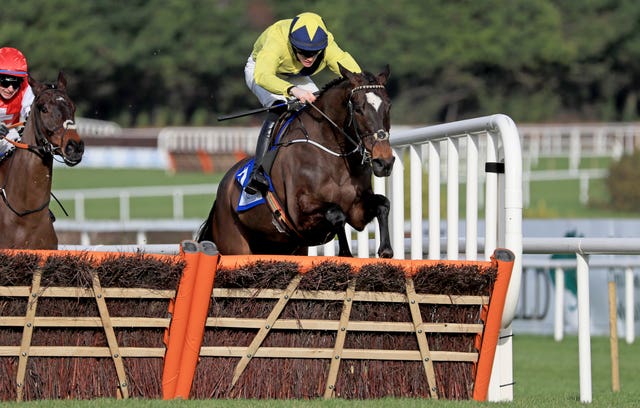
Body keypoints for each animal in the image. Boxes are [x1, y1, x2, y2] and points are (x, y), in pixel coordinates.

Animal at [198, 65, 396, 258]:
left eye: (388, 107)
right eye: (358, 109)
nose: (384, 162)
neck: (336, 158)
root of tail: (222, 191)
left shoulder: (356, 210)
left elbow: (383, 204)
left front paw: (385, 250)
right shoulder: (299, 215)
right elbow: (336, 213)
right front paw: (345, 253)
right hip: (235, 244)